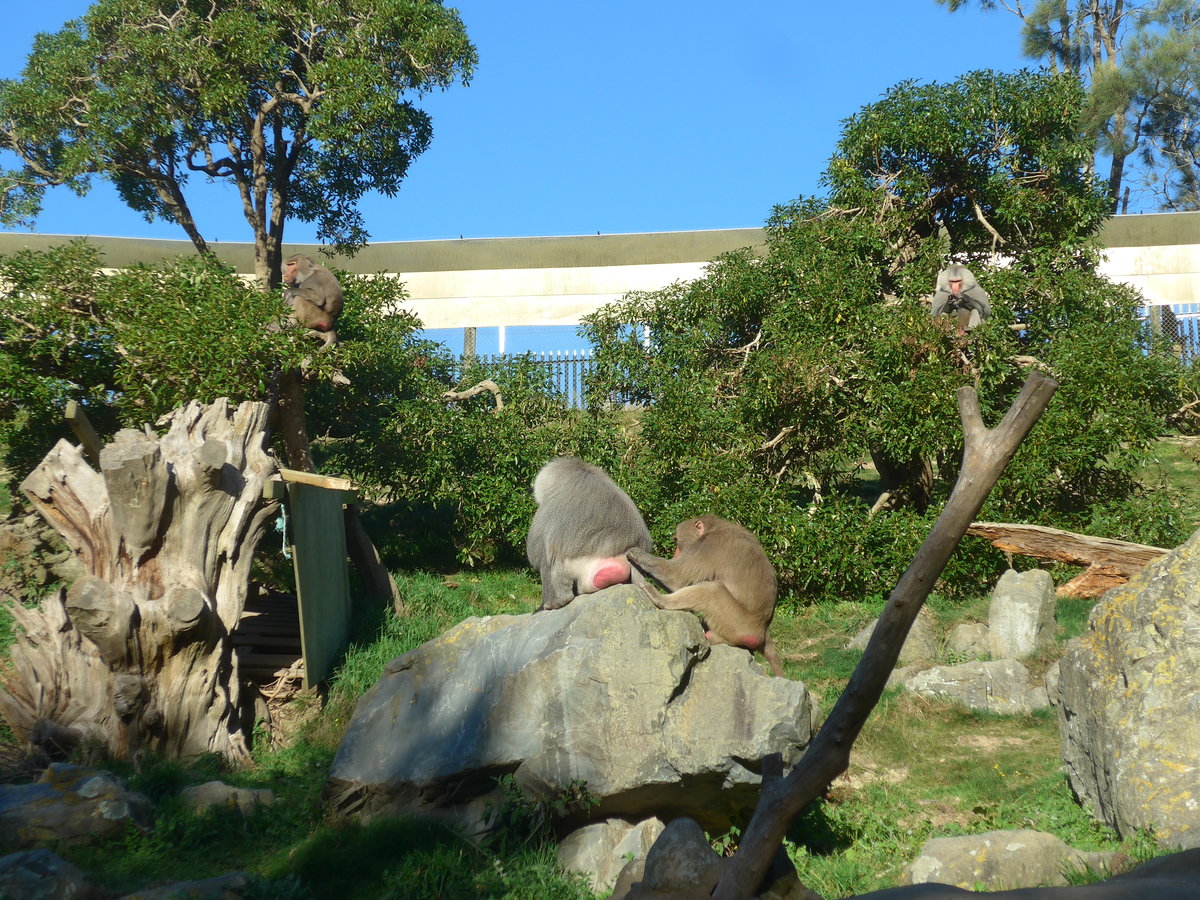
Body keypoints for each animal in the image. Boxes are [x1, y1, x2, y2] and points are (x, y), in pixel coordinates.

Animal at [628, 515, 784, 677]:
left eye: (678, 542)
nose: (675, 554)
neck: (715, 528)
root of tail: (763, 630)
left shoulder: (710, 544)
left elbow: (676, 578)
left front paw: (637, 553)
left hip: (738, 623)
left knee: (713, 590)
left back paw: (659, 599)